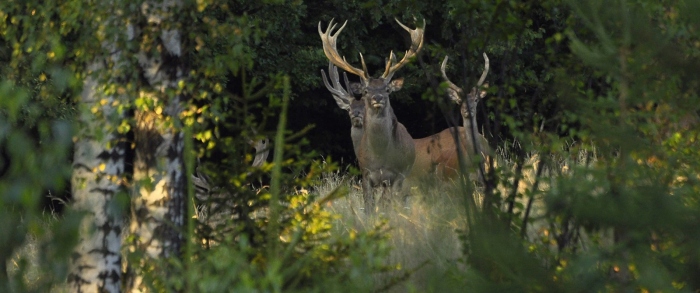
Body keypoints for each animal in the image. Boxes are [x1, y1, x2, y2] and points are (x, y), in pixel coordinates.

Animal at [318, 18, 426, 212]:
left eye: (387, 89)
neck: (380, 155)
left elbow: (390, 205)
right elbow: (368, 206)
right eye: (366, 90)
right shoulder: (366, 174)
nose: (378, 97)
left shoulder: (397, 175)